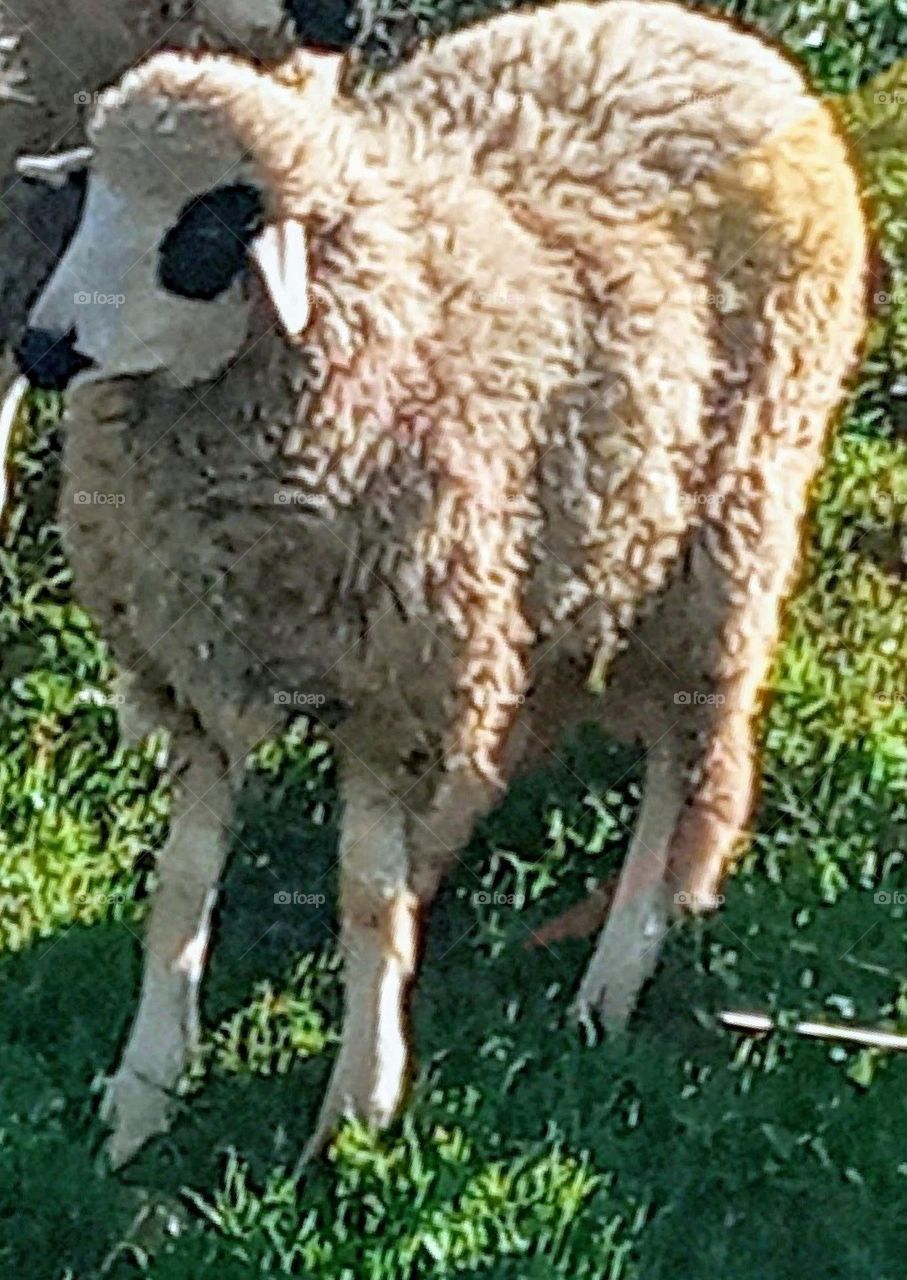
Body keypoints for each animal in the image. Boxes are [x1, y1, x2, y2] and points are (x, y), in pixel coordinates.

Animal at [13, 0, 868, 1167]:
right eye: (94, 191)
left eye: (204, 230)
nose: (39, 349)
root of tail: (726, 44)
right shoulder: (197, 670)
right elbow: (181, 884)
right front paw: (143, 1088)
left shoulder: (397, 688)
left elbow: (363, 896)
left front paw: (357, 1104)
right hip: (554, 550)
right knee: (523, 728)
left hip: (723, 534)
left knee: (685, 762)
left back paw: (611, 976)